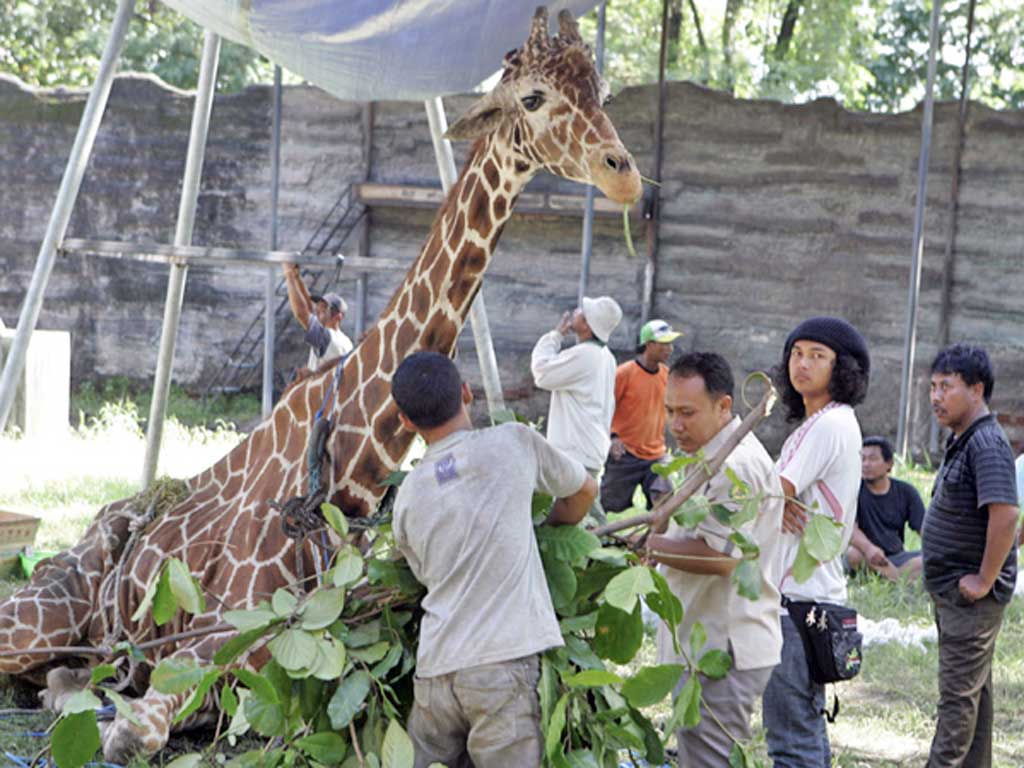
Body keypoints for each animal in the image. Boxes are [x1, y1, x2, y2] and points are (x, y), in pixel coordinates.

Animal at [0, 7, 638, 765]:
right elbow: (134, 730)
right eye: (534, 97)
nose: (625, 176)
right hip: (41, 611)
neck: (346, 469)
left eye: (602, 90)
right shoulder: (224, 630)